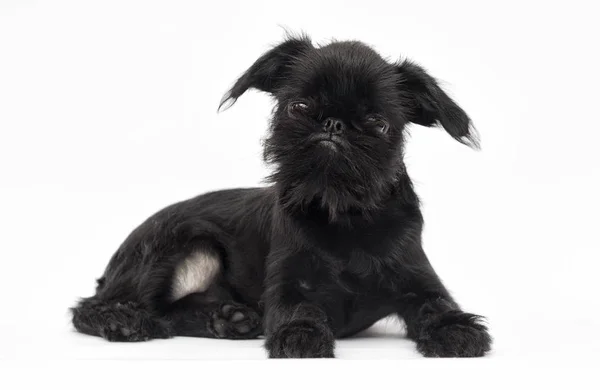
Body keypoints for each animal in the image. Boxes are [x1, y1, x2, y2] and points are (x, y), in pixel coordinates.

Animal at [71, 35, 492, 358]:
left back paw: (228, 319)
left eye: (378, 123)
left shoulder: (418, 280)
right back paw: (124, 320)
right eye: (299, 106)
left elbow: (437, 304)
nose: (333, 124)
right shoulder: (287, 284)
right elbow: (297, 307)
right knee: (90, 308)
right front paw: (300, 334)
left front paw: (456, 328)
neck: (344, 214)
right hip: (172, 244)